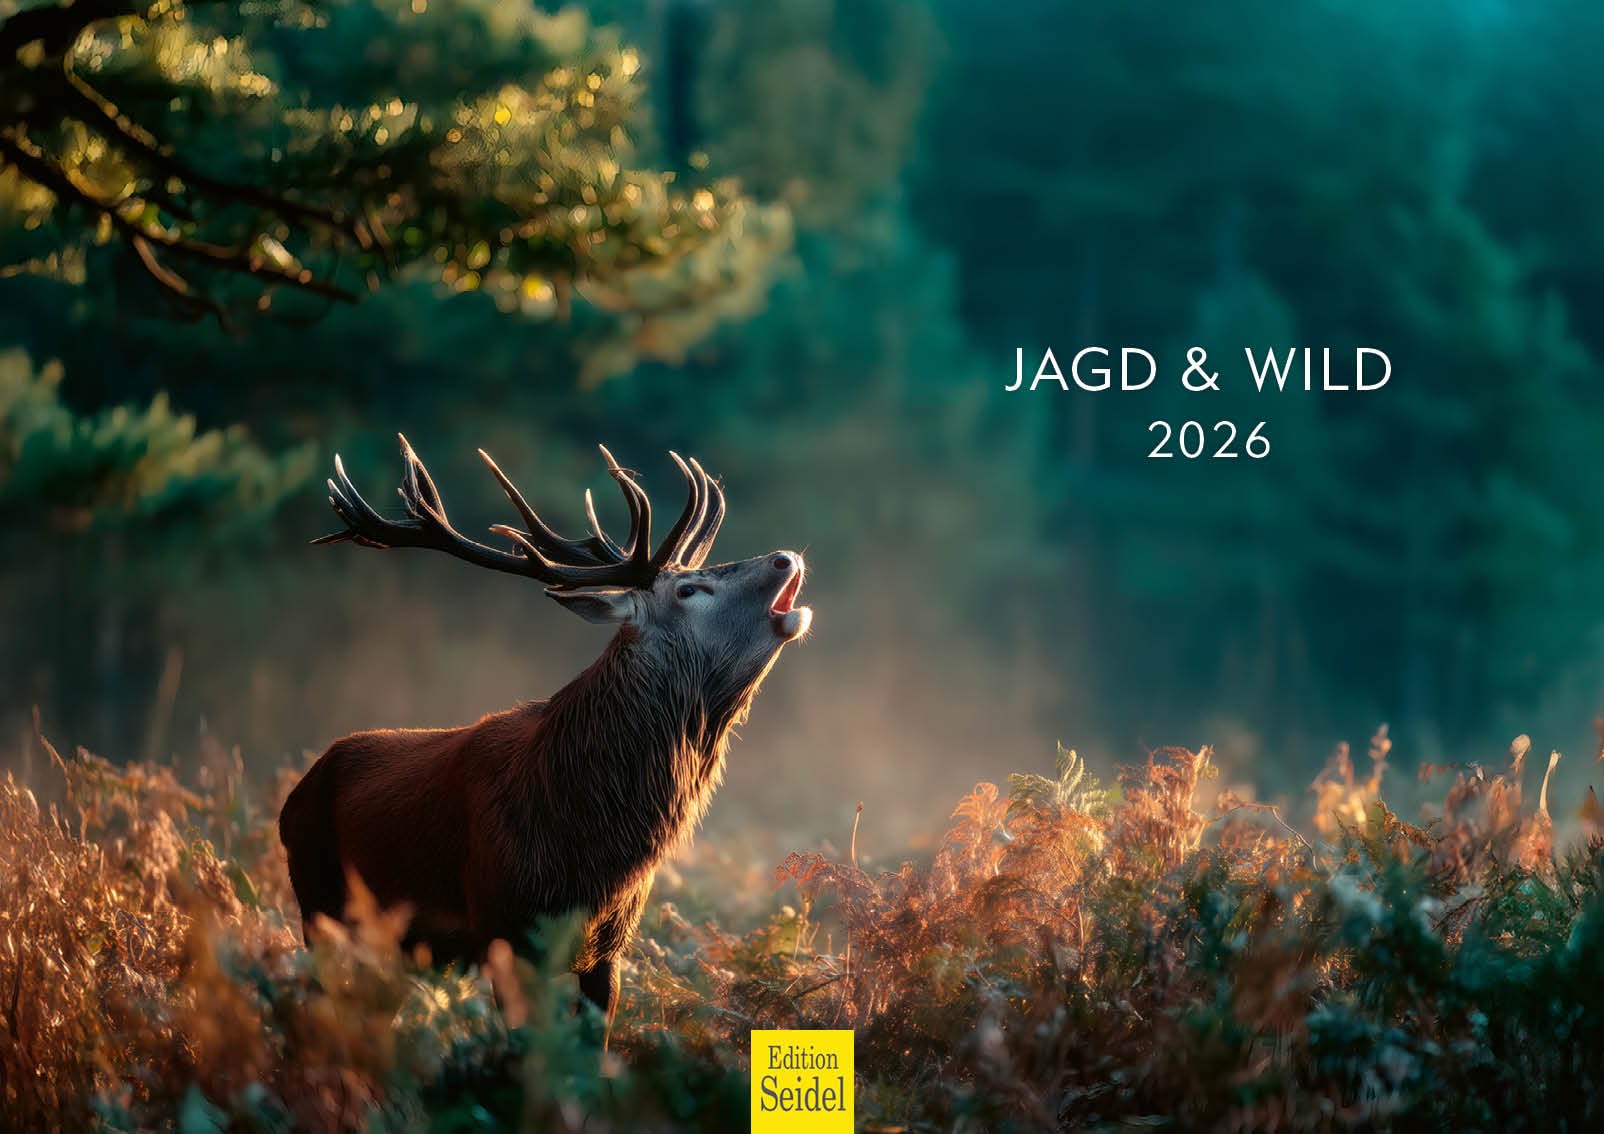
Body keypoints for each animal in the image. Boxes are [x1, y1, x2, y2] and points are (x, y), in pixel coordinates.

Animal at [277, 435, 810, 1036]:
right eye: (689, 588)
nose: (786, 557)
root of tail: (292, 797)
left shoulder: (609, 951)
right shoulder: (504, 932)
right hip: (316, 907)